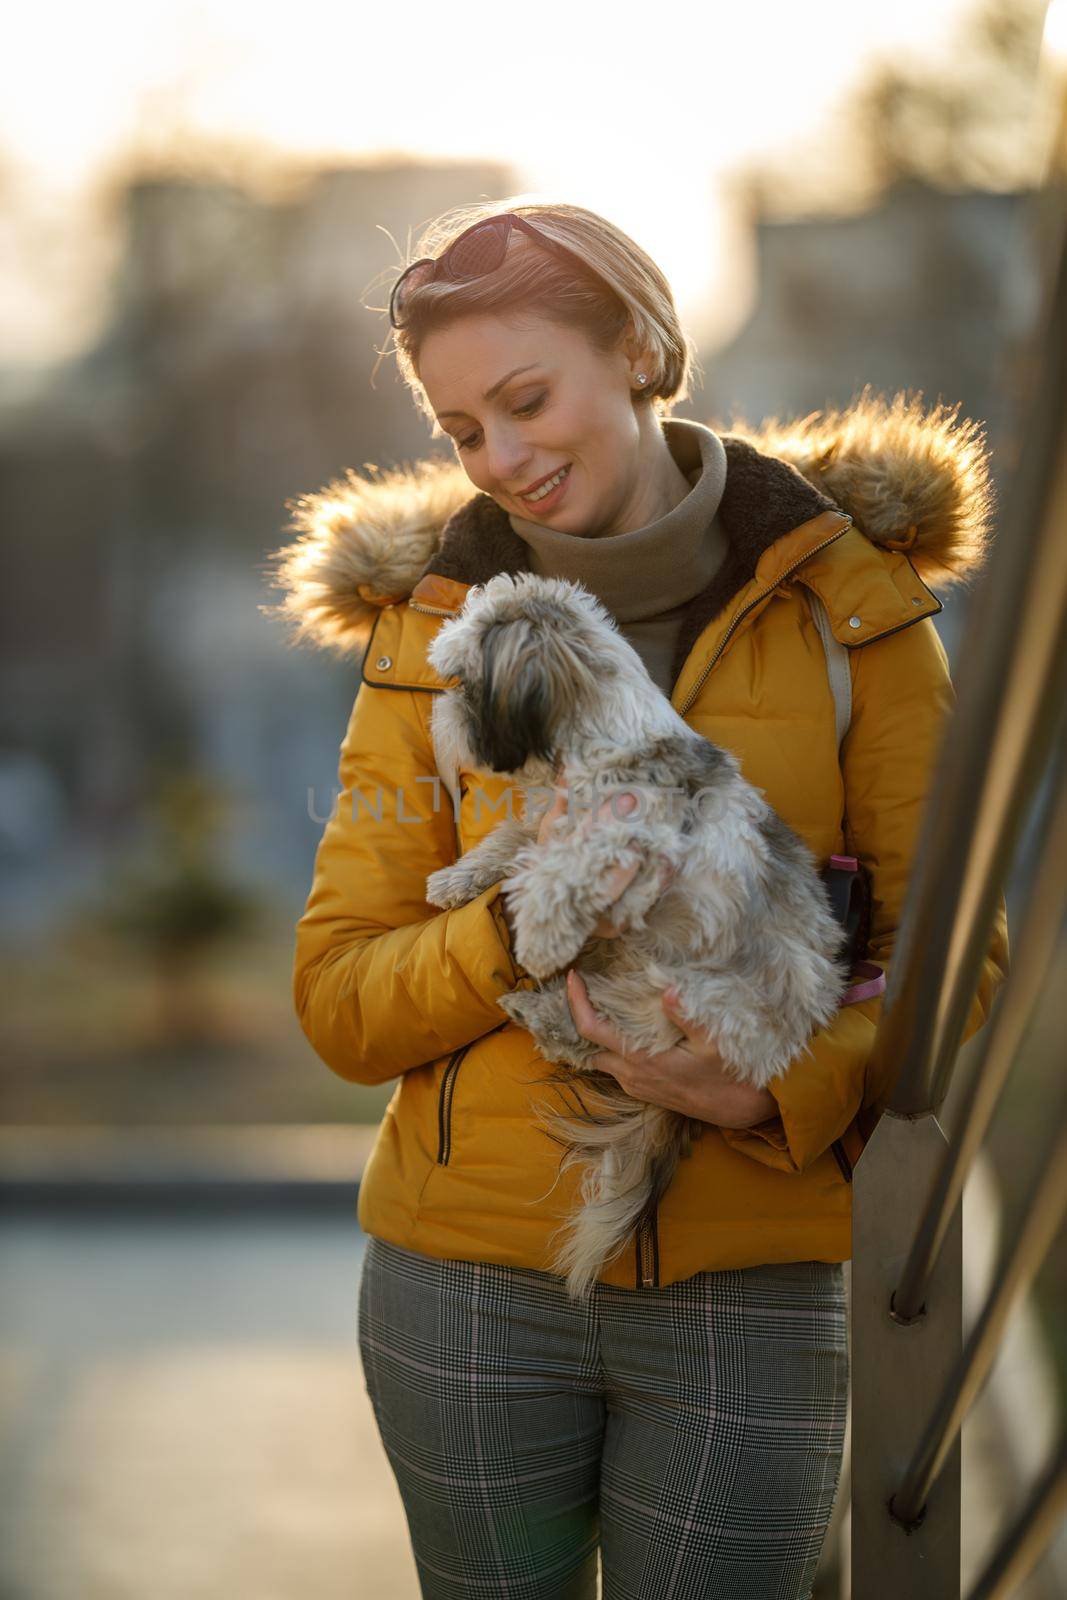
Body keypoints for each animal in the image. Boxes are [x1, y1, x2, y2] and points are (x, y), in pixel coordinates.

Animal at [425, 572, 851, 1299]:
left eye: (462, 680)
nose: (440, 714)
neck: (603, 742)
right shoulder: (544, 820)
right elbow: (512, 845)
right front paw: (460, 881)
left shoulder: (635, 838)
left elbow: (566, 867)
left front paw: (539, 934)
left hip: (692, 997)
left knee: (619, 1030)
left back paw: (545, 1009)